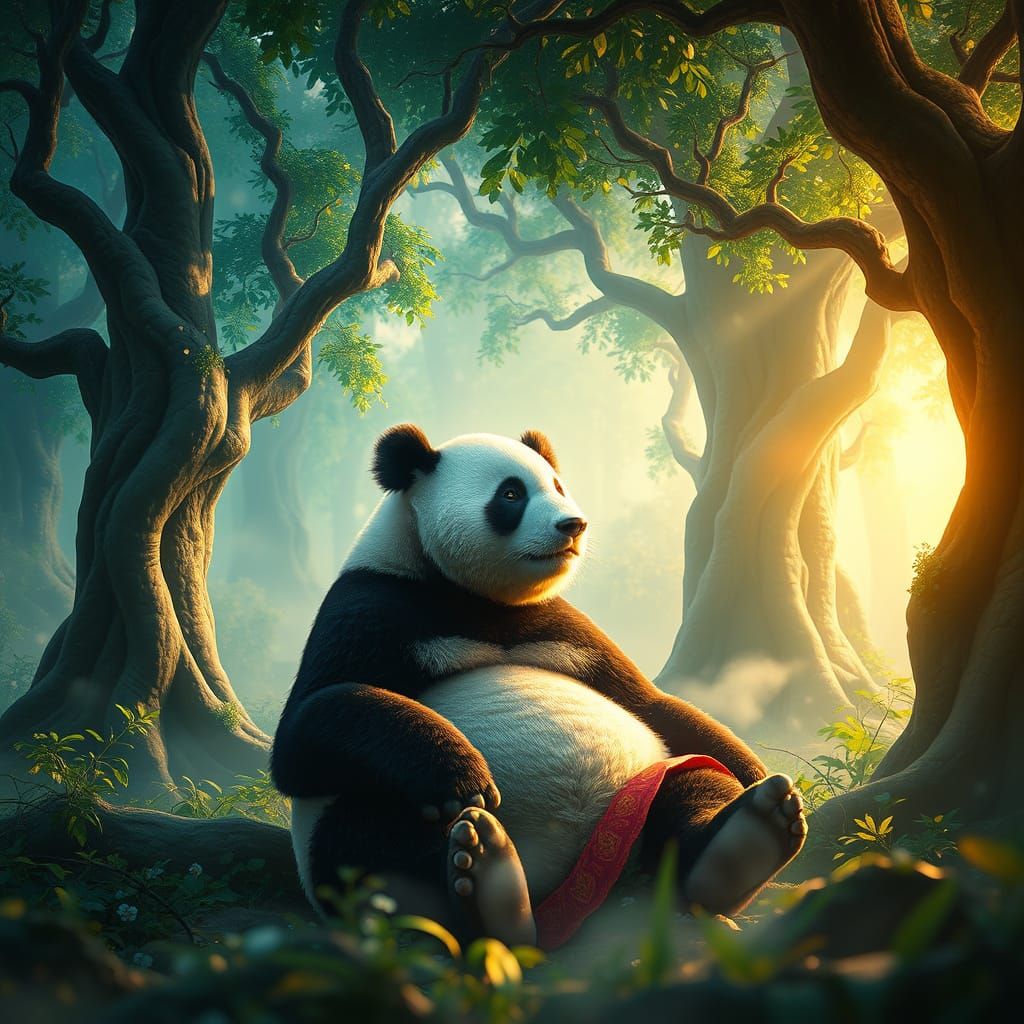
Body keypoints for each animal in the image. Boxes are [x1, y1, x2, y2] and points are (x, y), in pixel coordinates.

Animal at [271, 425, 807, 947]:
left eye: (557, 486)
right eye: (511, 494)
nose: (574, 525)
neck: (476, 598)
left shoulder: (561, 625)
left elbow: (649, 702)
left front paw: (754, 771)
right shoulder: (373, 603)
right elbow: (307, 729)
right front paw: (461, 775)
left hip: (643, 784)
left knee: (692, 785)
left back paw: (749, 835)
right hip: (354, 831)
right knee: (374, 838)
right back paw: (489, 879)